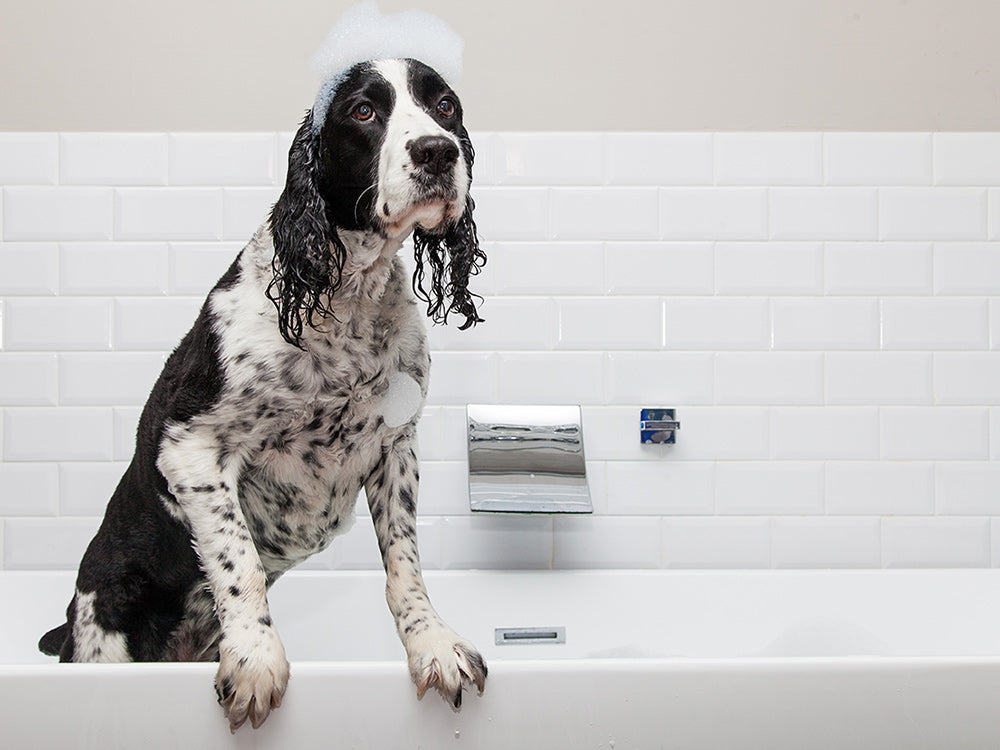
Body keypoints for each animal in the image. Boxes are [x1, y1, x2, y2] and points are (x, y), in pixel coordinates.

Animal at [38, 57, 488, 736]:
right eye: (362, 110)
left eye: (445, 106)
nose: (437, 151)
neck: (346, 303)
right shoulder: (192, 446)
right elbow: (237, 562)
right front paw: (255, 660)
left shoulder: (396, 448)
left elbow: (405, 565)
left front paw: (433, 644)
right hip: (103, 625)